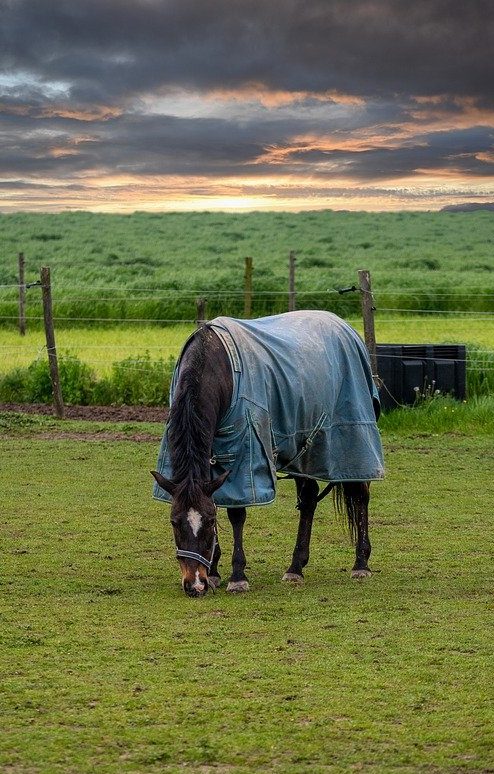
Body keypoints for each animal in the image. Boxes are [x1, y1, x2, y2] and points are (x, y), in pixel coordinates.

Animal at [152, 310, 384, 597]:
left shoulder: (244, 451)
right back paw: (295, 568)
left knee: (360, 495)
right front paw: (215, 572)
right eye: (174, 522)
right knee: (309, 499)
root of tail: (346, 328)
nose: (195, 584)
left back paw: (361, 563)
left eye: (208, 521)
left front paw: (237, 576)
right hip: (302, 449)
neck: (217, 369)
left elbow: (237, 513)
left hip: (352, 439)